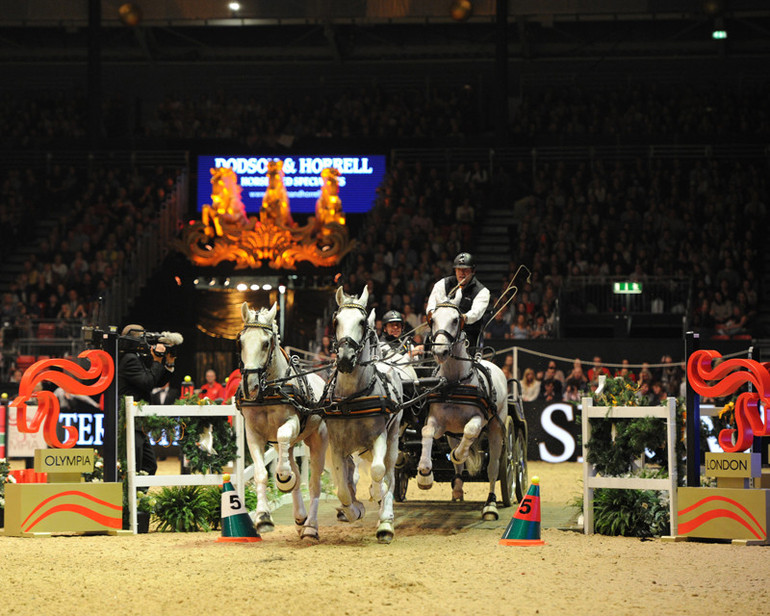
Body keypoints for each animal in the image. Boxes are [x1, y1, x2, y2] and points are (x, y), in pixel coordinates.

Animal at [237, 304, 328, 540]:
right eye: (240, 341)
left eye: (265, 343)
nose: (250, 386)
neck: (269, 391)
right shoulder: (253, 433)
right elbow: (261, 474)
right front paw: (262, 518)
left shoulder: (291, 422)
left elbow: (283, 435)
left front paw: (284, 477)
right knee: (292, 464)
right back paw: (300, 517)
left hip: (318, 439)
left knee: (314, 483)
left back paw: (310, 526)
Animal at [326, 286, 404, 540]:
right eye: (336, 321)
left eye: (361, 322)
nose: (345, 358)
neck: (353, 398)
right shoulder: (337, 445)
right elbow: (342, 488)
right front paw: (352, 510)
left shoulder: (379, 436)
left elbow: (379, 472)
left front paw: (377, 494)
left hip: (394, 436)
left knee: (389, 472)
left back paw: (385, 520)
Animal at [416, 292, 508, 520]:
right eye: (432, 319)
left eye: (455, 320)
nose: (440, 350)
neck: (454, 382)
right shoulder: (439, 422)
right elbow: (427, 431)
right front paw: (424, 473)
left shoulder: (479, 419)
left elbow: (471, 431)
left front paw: (460, 454)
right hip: (452, 433)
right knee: (457, 463)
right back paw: (457, 487)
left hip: (496, 428)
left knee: (493, 467)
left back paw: (490, 505)